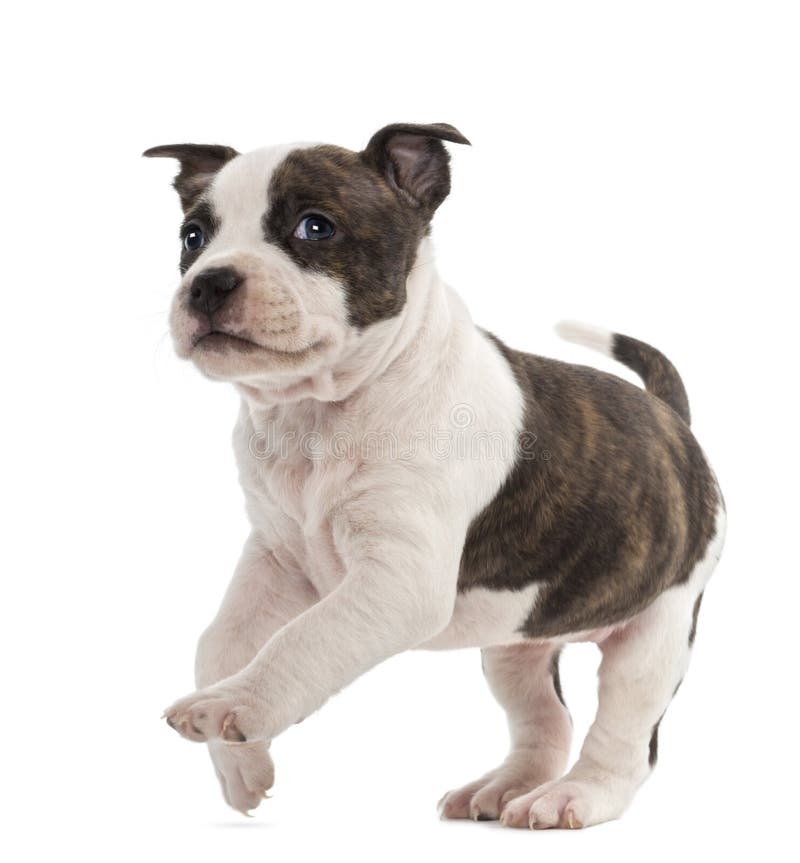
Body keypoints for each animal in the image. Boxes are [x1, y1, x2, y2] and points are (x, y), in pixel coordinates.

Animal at [145, 121, 724, 832]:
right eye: (192, 237)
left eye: (315, 227)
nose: (208, 283)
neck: (317, 413)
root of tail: (672, 419)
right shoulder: (276, 557)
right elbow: (218, 641)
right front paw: (242, 768)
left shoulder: (397, 583)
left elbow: (304, 639)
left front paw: (234, 708)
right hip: (517, 643)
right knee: (546, 718)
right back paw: (502, 789)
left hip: (658, 633)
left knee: (628, 740)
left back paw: (573, 797)